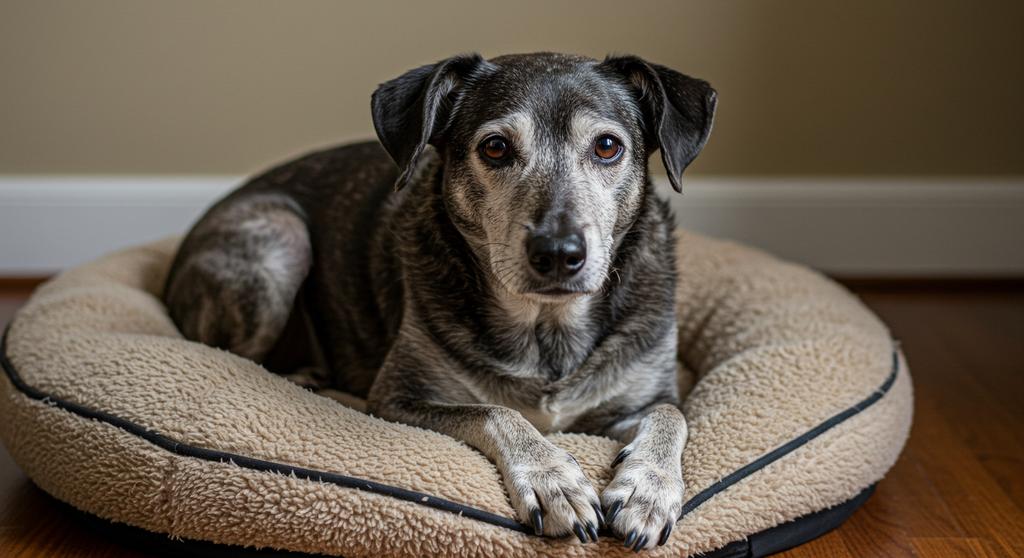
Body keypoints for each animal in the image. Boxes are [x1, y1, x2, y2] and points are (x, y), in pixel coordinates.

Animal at [163, 52, 716, 548]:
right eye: (495, 148)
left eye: (606, 146)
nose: (559, 253)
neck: (546, 326)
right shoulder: (400, 397)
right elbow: (495, 412)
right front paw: (551, 479)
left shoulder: (641, 394)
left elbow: (673, 416)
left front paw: (647, 490)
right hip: (280, 239)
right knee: (235, 355)